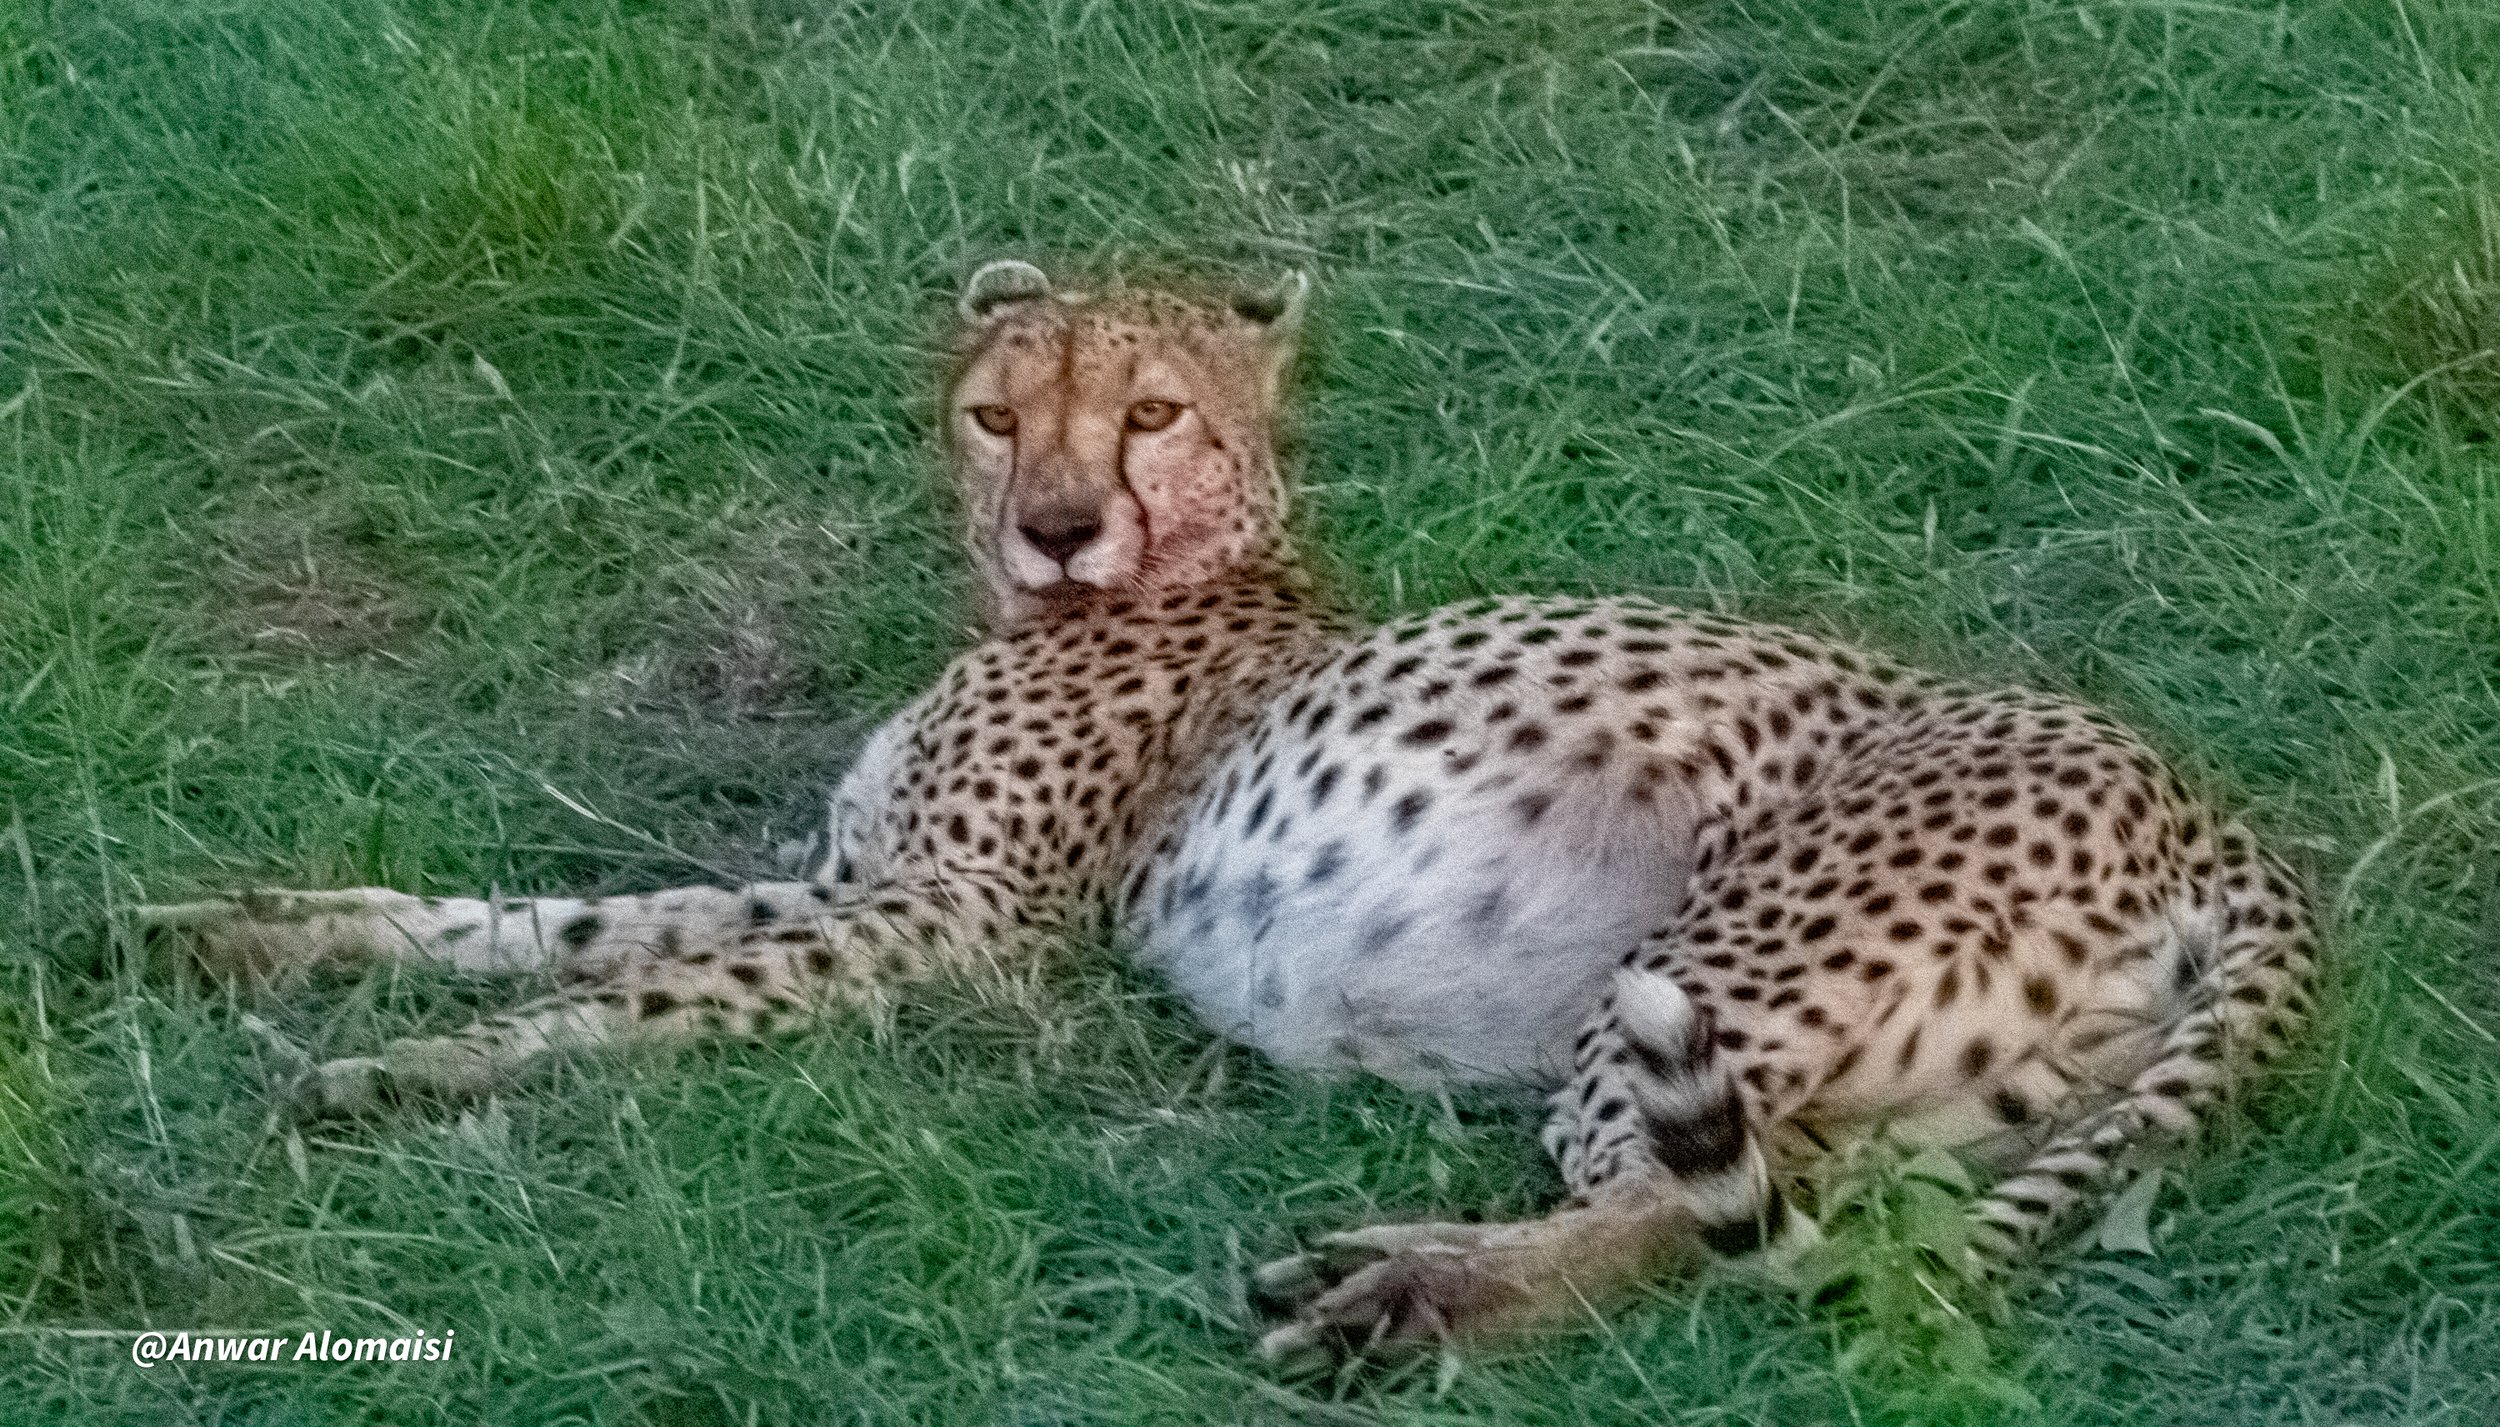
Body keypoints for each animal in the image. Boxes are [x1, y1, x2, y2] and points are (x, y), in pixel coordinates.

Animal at [139, 261, 2321, 1366]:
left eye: (1152, 412)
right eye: (998, 409)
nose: (1056, 519)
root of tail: (2204, 797)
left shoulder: (941, 934)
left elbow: (618, 995)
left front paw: (420, 1076)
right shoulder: (846, 883)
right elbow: (544, 915)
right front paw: (261, 938)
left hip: (1694, 979)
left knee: (1671, 1215)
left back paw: (1401, 1293)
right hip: (1962, 1087)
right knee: (1833, 1208)